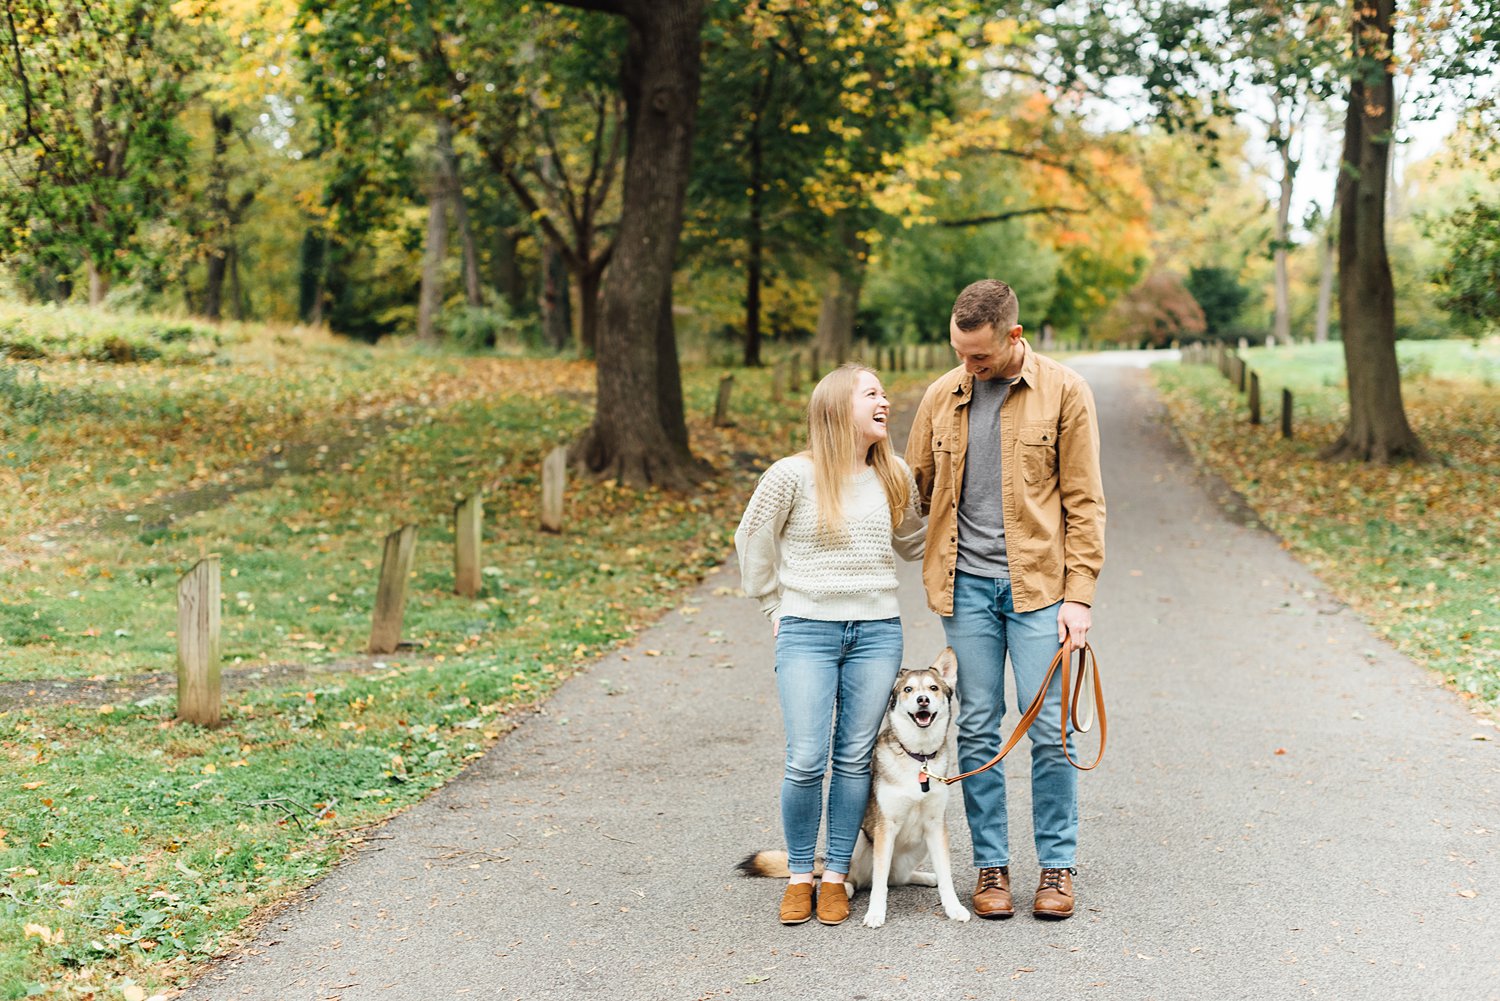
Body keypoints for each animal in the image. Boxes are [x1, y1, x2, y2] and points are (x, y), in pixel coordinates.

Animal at [738, 645, 972, 930]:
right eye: (908, 689)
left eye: (933, 688)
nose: (923, 700)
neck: (918, 757)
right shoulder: (885, 828)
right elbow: (880, 884)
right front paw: (875, 913)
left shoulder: (935, 826)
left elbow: (945, 876)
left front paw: (954, 908)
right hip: (857, 838)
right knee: (859, 878)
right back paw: (843, 890)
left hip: (920, 844)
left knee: (897, 878)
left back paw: (927, 877)